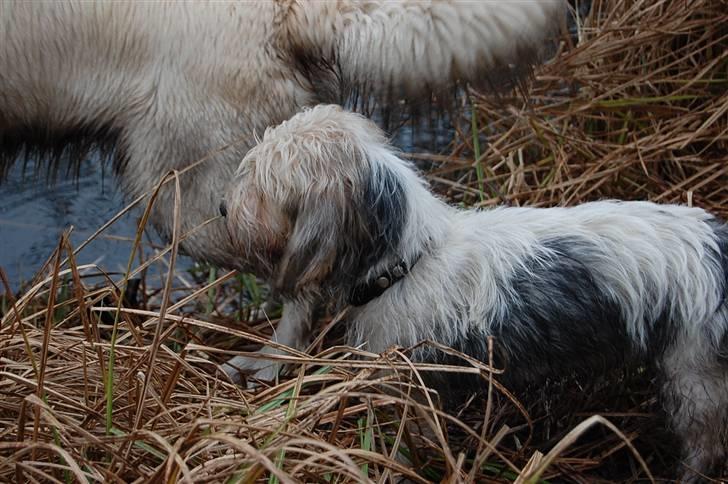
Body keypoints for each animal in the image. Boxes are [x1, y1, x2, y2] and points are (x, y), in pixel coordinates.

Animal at [222, 105, 728, 480]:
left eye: (263, 186)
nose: (224, 208)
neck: (411, 260)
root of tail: (717, 245)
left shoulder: (412, 387)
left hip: (697, 380)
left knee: (704, 444)